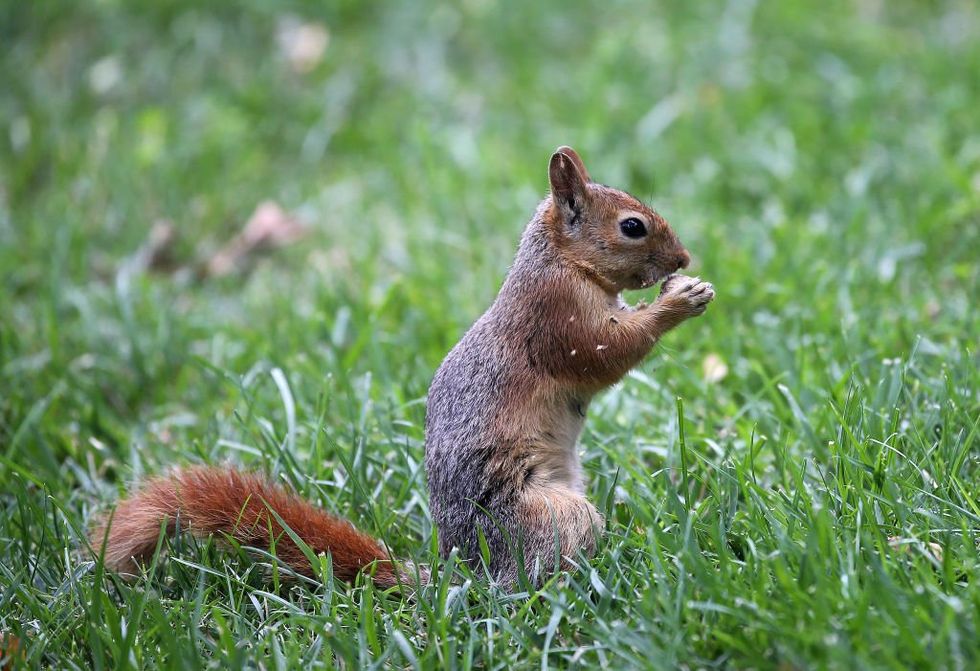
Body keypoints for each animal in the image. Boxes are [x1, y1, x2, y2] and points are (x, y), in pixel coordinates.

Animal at [92, 146, 716, 588]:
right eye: (632, 226)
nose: (684, 257)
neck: (560, 261)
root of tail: (464, 575)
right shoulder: (555, 317)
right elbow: (606, 352)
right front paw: (679, 301)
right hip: (548, 515)